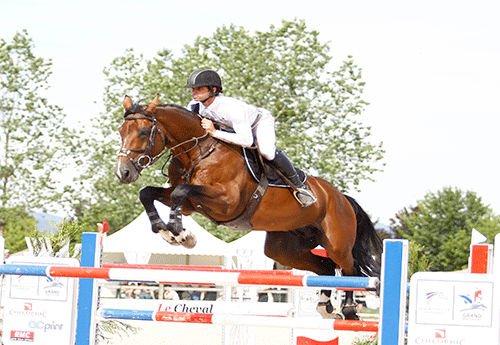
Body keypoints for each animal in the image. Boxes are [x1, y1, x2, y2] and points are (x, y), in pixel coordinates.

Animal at [114, 94, 382, 320]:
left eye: (144, 131)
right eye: (120, 131)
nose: (123, 172)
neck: (199, 152)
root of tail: (341, 197)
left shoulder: (226, 202)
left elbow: (181, 192)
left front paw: (181, 234)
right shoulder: (189, 204)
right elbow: (148, 193)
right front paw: (166, 231)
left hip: (337, 243)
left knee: (349, 269)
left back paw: (348, 310)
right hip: (284, 249)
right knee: (325, 266)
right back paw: (325, 307)